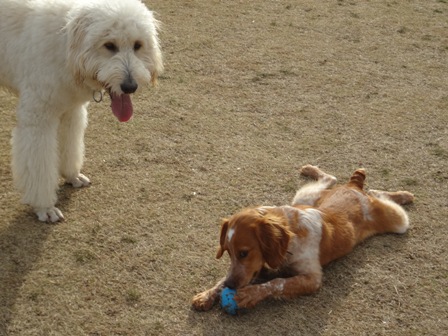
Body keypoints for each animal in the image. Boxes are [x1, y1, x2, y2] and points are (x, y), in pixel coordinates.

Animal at [0, 0, 164, 223]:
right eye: (109, 45)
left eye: (137, 45)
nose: (130, 87)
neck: (65, 44)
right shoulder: (37, 121)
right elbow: (39, 167)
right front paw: (44, 207)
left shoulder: (71, 112)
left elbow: (70, 147)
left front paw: (72, 176)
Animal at [192, 164, 412, 312]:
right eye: (228, 253)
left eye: (244, 253)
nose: (231, 287)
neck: (291, 239)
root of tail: (354, 187)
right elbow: (224, 278)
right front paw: (207, 294)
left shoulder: (312, 278)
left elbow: (278, 282)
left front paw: (248, 295)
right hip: (304, 197)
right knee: (330, 178)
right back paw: (310, 169)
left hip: (398, 221)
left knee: (380, 195)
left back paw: (405, 195)